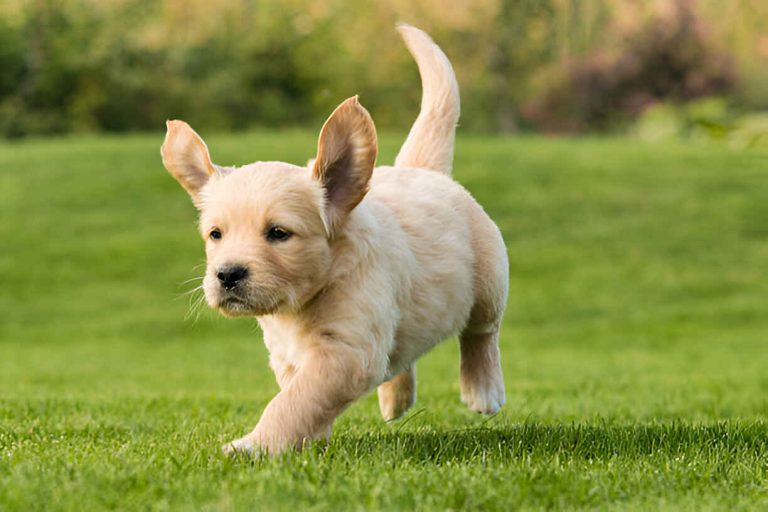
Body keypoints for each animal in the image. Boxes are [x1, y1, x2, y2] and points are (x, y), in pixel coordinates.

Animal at [161, 24, 508, 456]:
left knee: (482, 333)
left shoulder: (347, 350)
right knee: (403, 351)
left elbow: (295, 400)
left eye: (278, 233)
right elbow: (300, 397)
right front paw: (308, 439)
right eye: (215, 234)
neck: (303, 302)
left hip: (490, 280)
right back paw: (396, 399)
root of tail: (422, 170)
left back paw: (484, 390)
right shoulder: (288, 356)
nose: (227, 275)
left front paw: (255, 445)